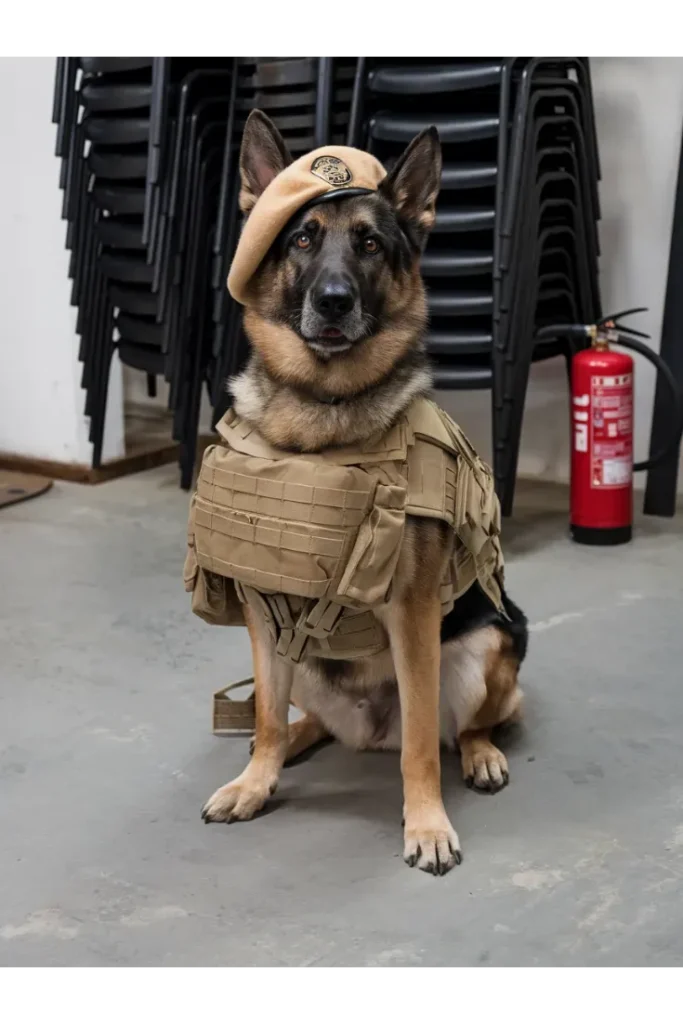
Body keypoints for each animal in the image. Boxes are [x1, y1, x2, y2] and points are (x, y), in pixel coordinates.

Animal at [200, 114, 532, 880]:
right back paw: (279, 751)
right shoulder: (262, 612)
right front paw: (256, 782)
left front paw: (427, 825)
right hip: (298, 663)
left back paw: (480, 755)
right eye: (300, 238)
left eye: (371, 243)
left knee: (457, 727)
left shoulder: (411, 615)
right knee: (297, 717)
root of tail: (368, 729)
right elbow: (266, 714)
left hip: (491, 645)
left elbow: (420, 749)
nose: (332, 301)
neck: (320, 417)